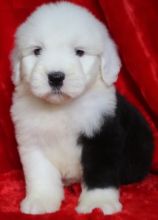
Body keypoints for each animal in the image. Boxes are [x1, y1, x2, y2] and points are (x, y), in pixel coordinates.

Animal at [10, 1, 154, 215]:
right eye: (37, 51)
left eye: (79, 52)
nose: (55, 77)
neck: (62, 107)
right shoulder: (32, 140)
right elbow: (41, 173)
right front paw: (41, 200)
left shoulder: (102, 134)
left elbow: (100, 172)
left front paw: (98, 203)